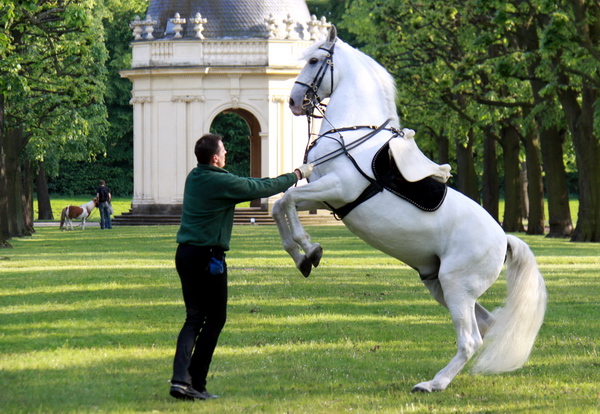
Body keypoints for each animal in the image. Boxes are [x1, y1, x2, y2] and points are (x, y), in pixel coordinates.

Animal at [274, 25, 548, 392]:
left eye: (315, 60)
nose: (292, 102)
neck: (351, 136)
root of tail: (505, 241)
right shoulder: (323, 195)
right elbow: (281, 204)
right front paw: (303, 256)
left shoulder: (338, 189)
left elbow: (285, 201)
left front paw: (310, 249)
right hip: (441, 286)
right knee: (486, 326)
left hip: (456, 286)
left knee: (471, 339)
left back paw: (433, 384)